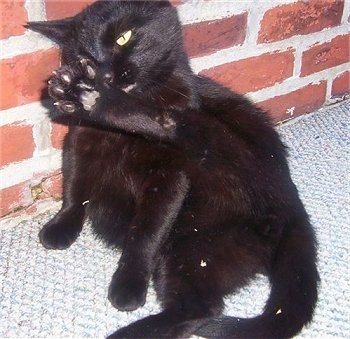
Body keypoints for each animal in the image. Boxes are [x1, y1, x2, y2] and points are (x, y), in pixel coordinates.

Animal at [27, 1, 318, 338]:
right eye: (83, 56)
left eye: (124, 37)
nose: (104, 74)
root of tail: (292, 207)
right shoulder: (78, 141)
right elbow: (74, 189)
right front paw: (61, 227)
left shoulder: (169, 177)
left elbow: (146, 232)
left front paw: (129, 282)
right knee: (198, 309)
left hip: (201, 210)